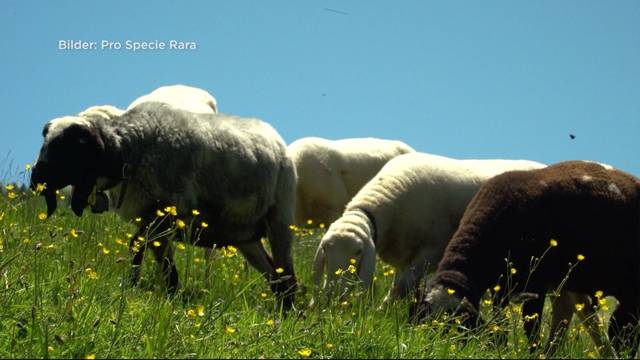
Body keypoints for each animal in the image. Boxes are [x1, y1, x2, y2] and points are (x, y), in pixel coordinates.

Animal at [28, 101, 298, 306]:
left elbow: (152, 256)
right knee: (274, 276)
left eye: (69, 147)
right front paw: (138, 285)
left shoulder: (168, 215)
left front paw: (167, 298)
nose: (35, 180)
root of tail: (277, 141)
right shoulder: (151, 218)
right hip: (245, 236)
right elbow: (141, 249)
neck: (134, 151)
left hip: (279, 220)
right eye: (45, 141)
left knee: (288, 278)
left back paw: (286, 317)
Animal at [310, 152, 544, 304]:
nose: (333, 296)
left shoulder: (432, 252)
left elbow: (401, 287)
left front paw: (383, 312)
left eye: (358, 252)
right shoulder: (404, 256)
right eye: (326, 249)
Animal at [412, 161, 636, 358]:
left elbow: (531, 327)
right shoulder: (500, 287)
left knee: (624, 329)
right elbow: (500, 322)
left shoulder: (536, 284)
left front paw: (531, 352)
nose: (432, 348)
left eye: (456, 325)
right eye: (425, 320)